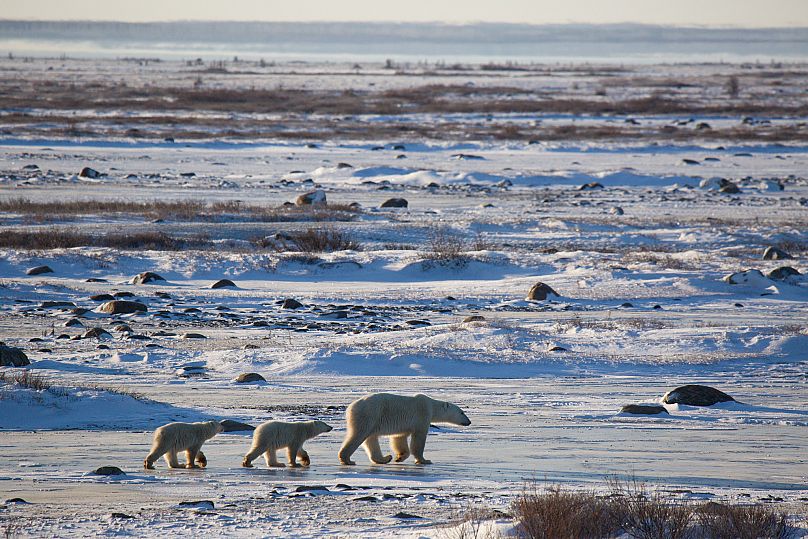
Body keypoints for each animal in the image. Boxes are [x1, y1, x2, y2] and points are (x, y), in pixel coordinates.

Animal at [338, 394, 470, 466]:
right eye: (462, 412)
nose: (469, 422)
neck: (432, 406)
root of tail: (350, 407)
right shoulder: (422, 415)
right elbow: (419, 439)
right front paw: (425, 460)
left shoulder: (404, 425)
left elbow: (399, 438)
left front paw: (399, 457)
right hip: (369, 414)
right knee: (359, 435)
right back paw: (347, 459)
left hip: (372, 419)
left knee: (371, 439)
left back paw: (385, 458)